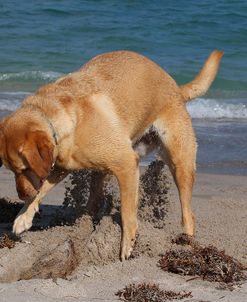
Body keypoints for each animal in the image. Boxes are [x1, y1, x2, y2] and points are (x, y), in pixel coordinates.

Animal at [0, 50, 223, 260]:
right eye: (12, 171)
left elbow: (127, 212)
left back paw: (187, 243)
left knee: (188, 214)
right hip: (113, 165)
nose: (21, 195)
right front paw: (23, 216)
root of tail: (176, 89)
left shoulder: (126, 164)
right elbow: (41, 189)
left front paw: (127, 243)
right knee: (96, 197)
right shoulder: (58, 168)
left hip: (180, 162)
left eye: (23, 168)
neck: (58, 119)